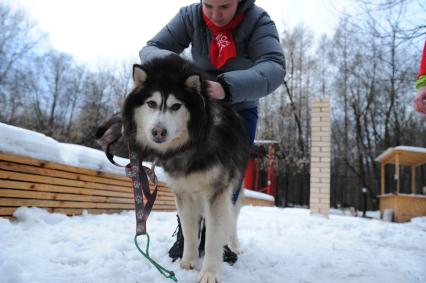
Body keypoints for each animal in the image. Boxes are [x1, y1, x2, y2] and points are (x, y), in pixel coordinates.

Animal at [121, 54, 250, 282]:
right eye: (151, 103)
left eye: (176, 106)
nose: (158, 132)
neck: (192, 144)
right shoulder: (184, 193)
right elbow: (189, 231)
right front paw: (188, 261)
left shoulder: (217, 194)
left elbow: (213, 237)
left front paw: (209, 273)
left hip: (233, 192)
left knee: (231, 221)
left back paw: (234, 247)